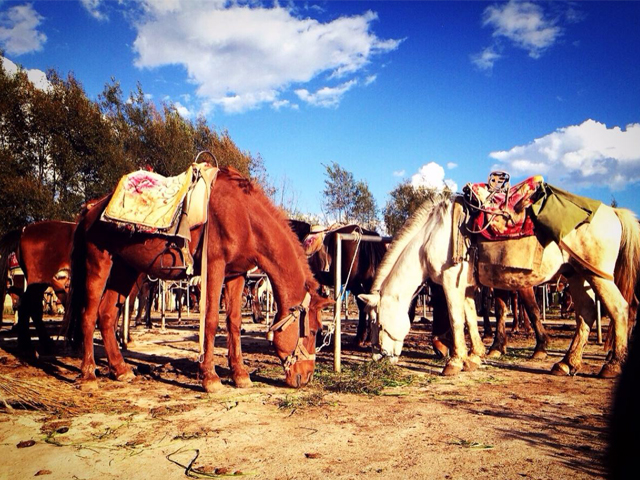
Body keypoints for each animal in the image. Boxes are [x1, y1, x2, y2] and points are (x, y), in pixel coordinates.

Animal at [67, 167, 332, 392]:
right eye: (313, 331)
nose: (306, 376)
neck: (244, 216)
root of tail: (92, 208)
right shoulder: (214, 267)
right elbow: (211, 320)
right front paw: (210, 378)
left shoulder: (236, 275)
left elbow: (233, 322)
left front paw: (240, 375)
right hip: (99, 262)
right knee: (89, 315)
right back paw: (89, 375)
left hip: (125, 269)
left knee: (106, 315)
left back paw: (120, 369)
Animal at [362, 195, 636, 378]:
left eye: (377, 323)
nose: (378, 357)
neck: (430, 236)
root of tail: (614, 212)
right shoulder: (467, 287)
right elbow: (472, 319)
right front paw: (475, 356)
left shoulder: (451, 284)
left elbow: (456, 320)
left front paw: (454, 362)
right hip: (577, 275)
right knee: (586, 313)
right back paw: (566, 363)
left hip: (598, 276)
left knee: (619, 309)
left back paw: (611, 365)